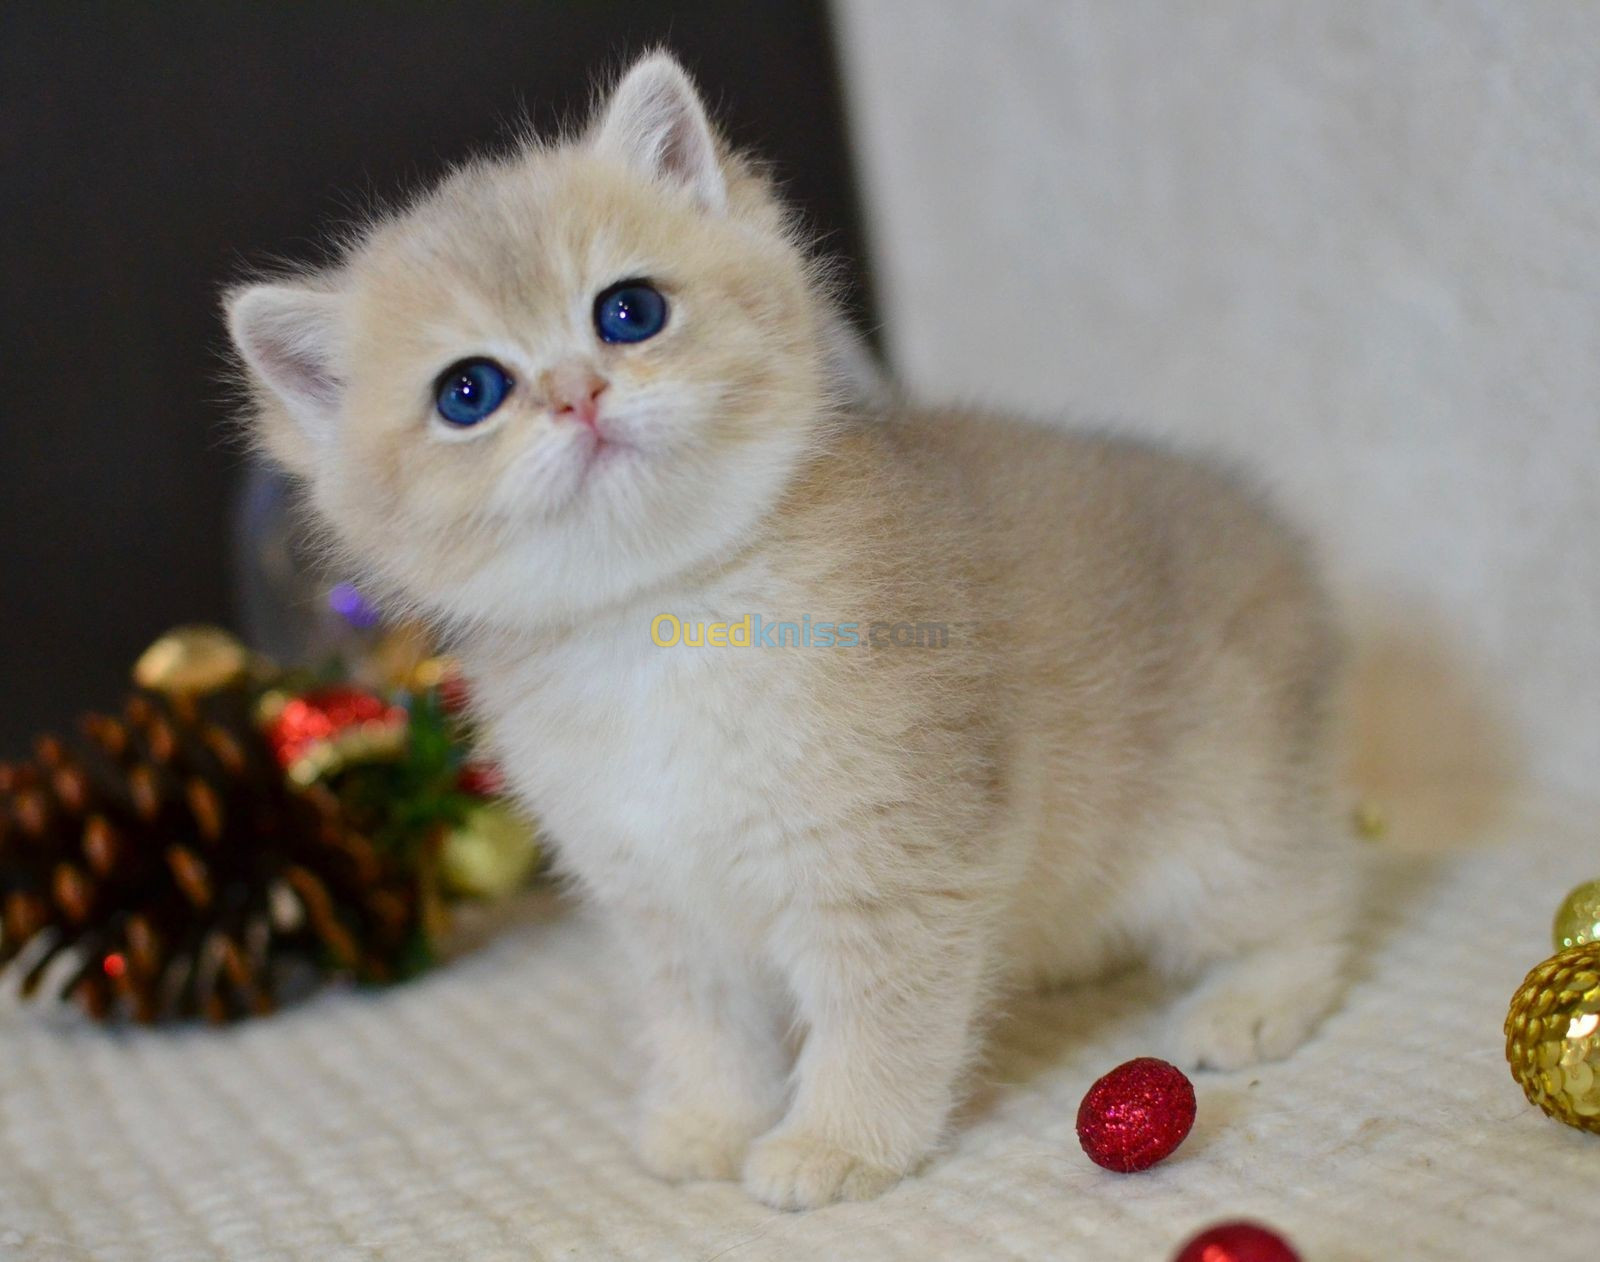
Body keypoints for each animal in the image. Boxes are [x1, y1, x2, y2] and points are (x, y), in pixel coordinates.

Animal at [222, 53, 1350, 1209]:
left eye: (629, 310)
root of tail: (1276, 542)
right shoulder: (660, 897)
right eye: (468, 392)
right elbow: (704, 1027)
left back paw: (1254, 998)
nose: (578, 393)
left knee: (1316, 888)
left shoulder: (891, 860)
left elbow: (878, 1017)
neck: (658, 625)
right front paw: (709, 1120)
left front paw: (839, 1140)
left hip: (1218, 822)